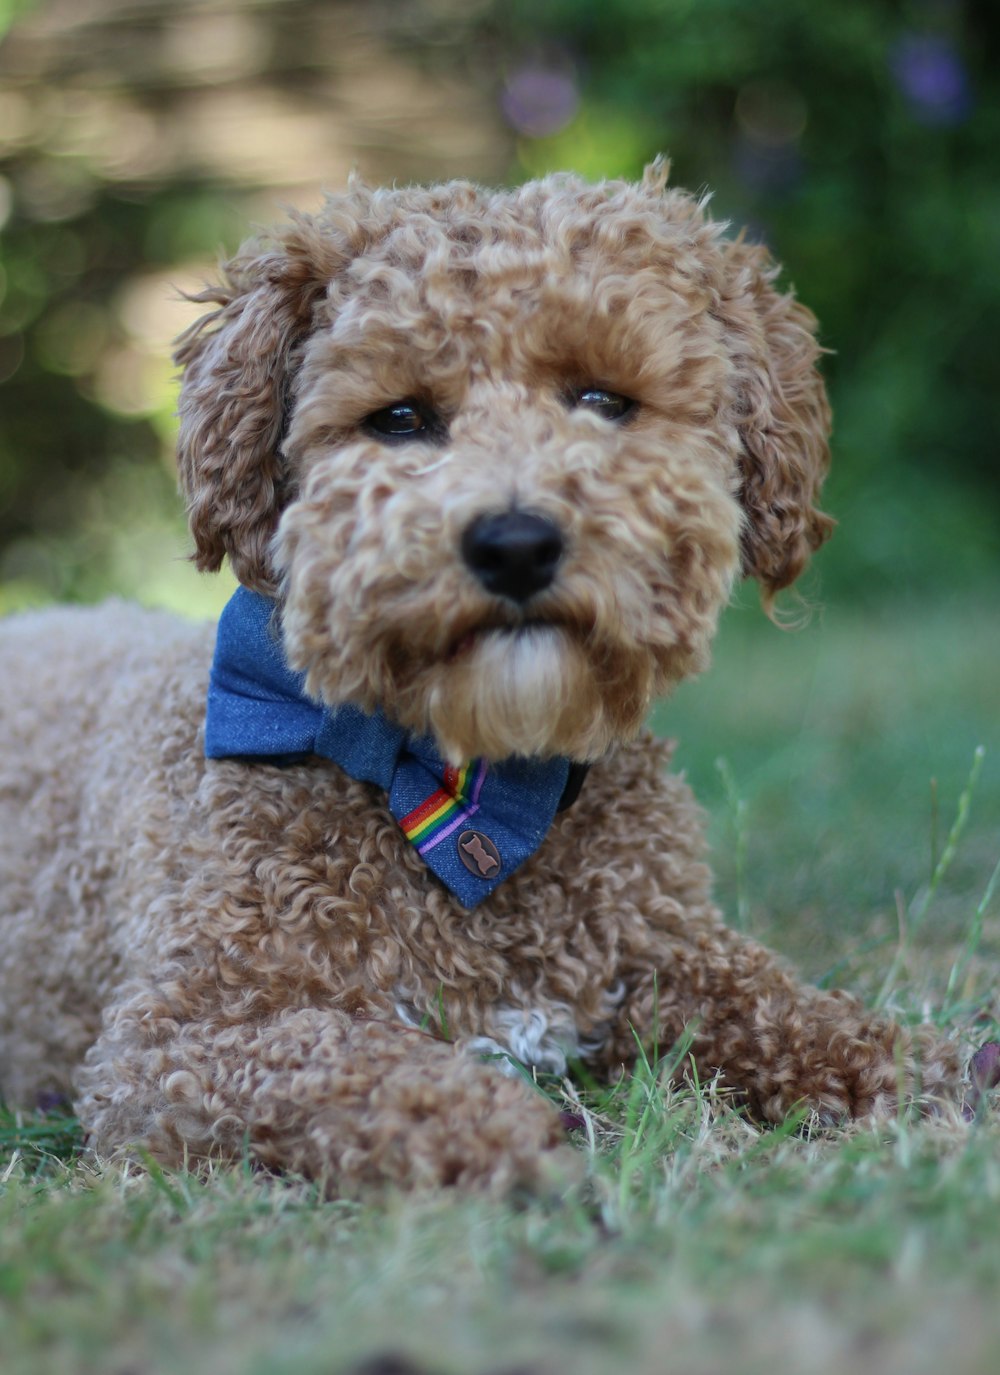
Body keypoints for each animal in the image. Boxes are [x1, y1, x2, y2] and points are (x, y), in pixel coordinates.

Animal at [0, 163, 968, 1193]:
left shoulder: (660, 943)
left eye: (603, 399)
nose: (515, 542)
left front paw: (912, 1062)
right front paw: (505, 1134)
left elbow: (773, 996)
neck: (472, 783)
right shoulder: (180, 1040)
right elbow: (365, 1068)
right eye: (399, 418)